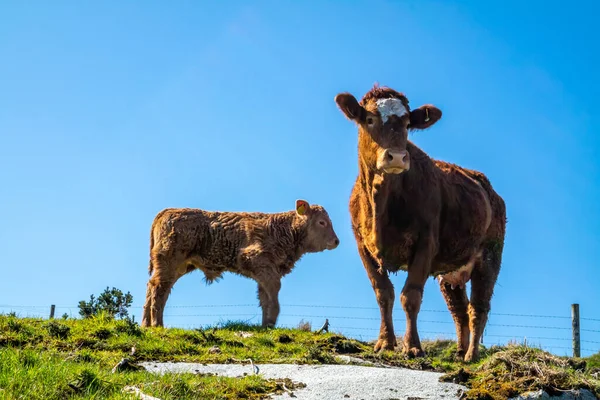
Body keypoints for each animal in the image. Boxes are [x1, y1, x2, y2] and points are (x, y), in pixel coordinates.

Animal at [140, 199, 338, 328]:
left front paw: (265, 326)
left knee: (153, 287)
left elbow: (264, 297)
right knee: (158, 288)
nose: (336, 241)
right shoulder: (257, 262)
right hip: (169, 262)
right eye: (322, 222)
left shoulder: (266, 272)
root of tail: (168, 211)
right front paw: (271, 322)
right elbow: (274, 293)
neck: (283, 230)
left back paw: (146, 325)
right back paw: (157, 325)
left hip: (177, 266)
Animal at [336, 84, 504, 362]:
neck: (381, 203)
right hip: (450, 272)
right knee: (459, 309)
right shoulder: (362, 246)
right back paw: (459, 352)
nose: (396, 157)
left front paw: (413, 347)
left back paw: (471, 356)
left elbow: (410, 296)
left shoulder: (426, 243)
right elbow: (383, 293)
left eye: (406, 124)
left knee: (478, 307)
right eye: (369, 119)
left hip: (490, 256)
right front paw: (385, 342)